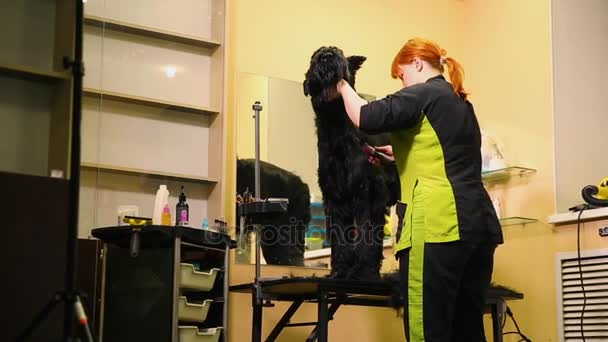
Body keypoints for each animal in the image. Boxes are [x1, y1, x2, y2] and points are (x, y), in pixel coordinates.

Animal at [302, 46, 400, 280]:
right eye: (314, 56)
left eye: (338, 51)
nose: (327, 57)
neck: (336, 128)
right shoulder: (336, 197)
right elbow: (340, 237)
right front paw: (341, 270)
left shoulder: (368, 193)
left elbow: (366, 234)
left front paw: (364, 272)